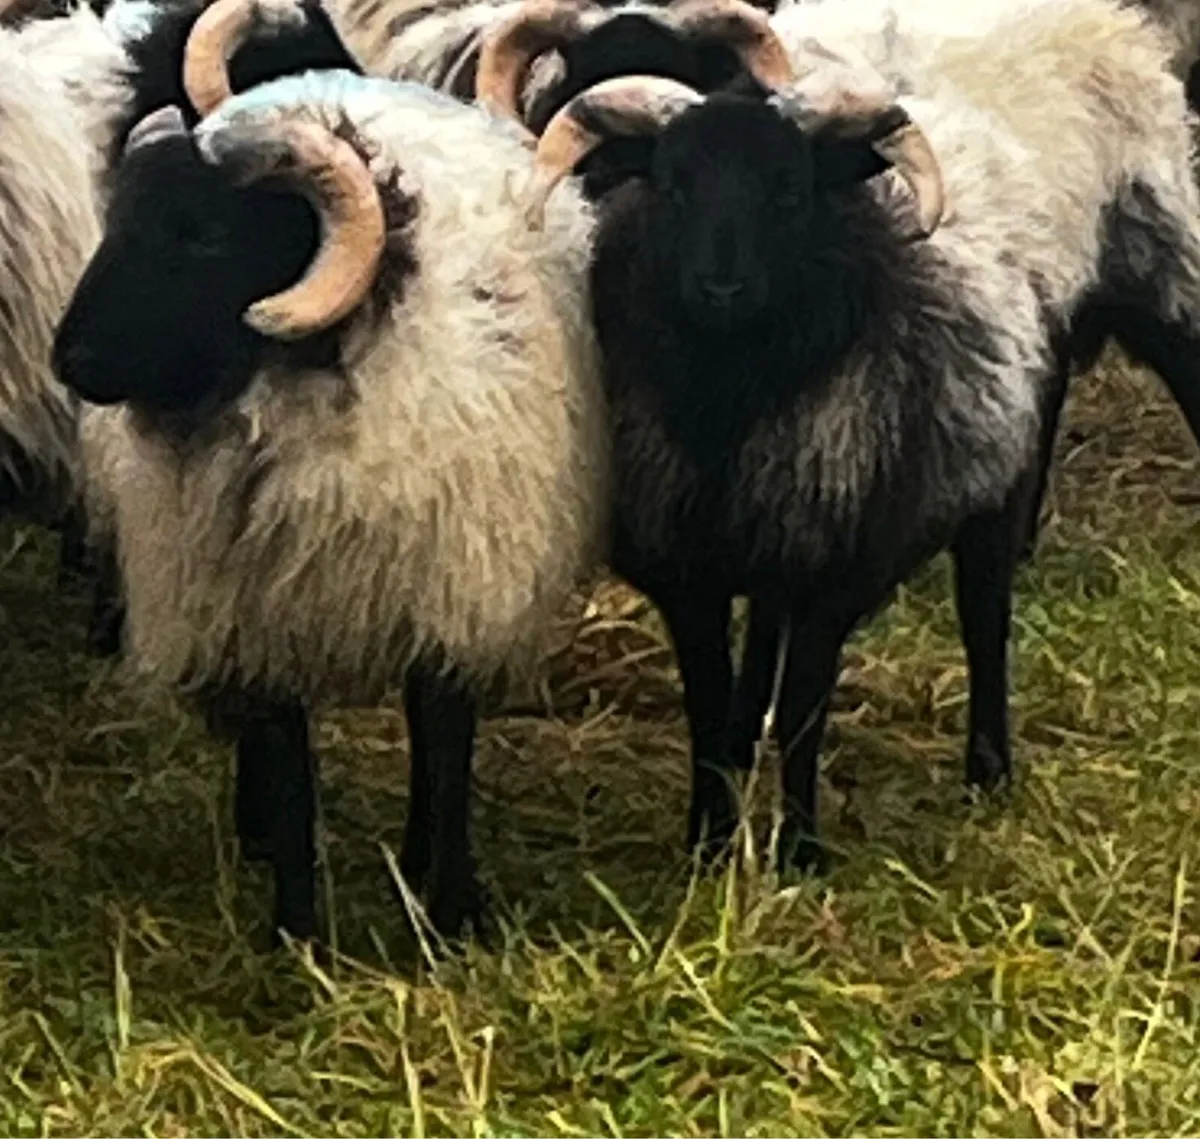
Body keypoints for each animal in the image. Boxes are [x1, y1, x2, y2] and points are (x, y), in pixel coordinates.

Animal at [52, 68, 607, 942]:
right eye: (123, 219)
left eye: (203, 234)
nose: (71, 359)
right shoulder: (261, 613)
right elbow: (286, 765)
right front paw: (295, 927)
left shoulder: (450, 589)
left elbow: (443, 739)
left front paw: (450, 903)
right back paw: (253, 834)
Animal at [517, 0, 1200, 868]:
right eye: (672, 186)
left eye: (788, 191)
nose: (721, 285)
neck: (728, 395)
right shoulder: (694, 565)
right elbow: (706, 701)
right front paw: (709, 840)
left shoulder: (834, 567)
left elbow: (805, 706)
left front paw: (798, 851)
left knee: (985, 620)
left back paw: (988, 771)